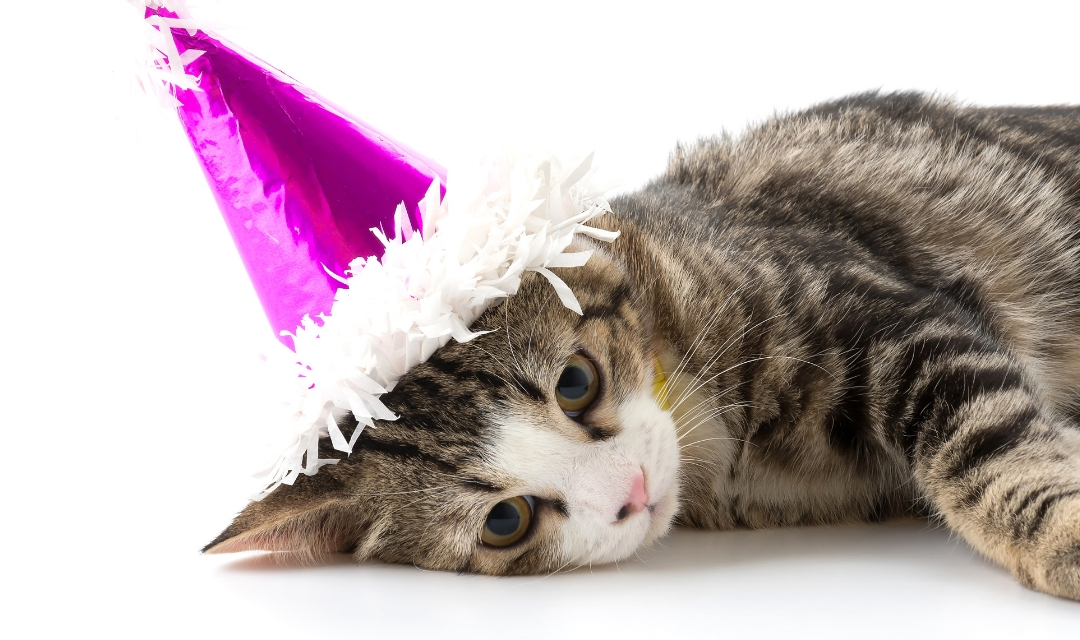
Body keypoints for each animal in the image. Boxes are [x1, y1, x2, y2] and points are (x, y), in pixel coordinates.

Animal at [203, 91, 1080, 600]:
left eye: (576, 384)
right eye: (504, 522)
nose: (628, 492)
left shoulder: (881, 310)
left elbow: (980, 439)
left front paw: (1064, 535)